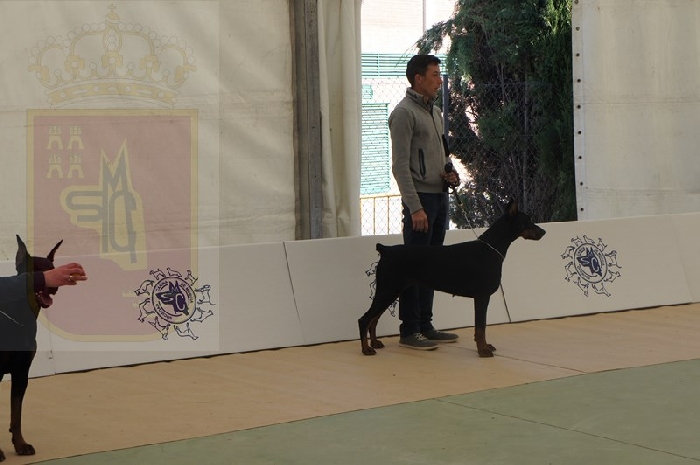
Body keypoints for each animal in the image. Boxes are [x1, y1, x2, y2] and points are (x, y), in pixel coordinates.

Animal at [0, 236, 62, 461]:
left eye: (52, 268)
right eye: (33, 270)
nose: (52, 287)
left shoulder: (21, 372)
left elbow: (16, 415)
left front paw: (20, 444)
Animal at [358, 200, 545, 357]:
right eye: (527, 220)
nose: (544, 231)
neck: (491, 248)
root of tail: (385, 250)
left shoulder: (482, 298)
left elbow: (482, 327)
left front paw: (486, 347)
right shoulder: (482, 297)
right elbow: (481, 327)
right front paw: (483, 350)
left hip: (391, 291)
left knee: (374, 319)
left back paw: (375, 343)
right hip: (388, 289)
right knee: (365, 319)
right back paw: (366, 349)